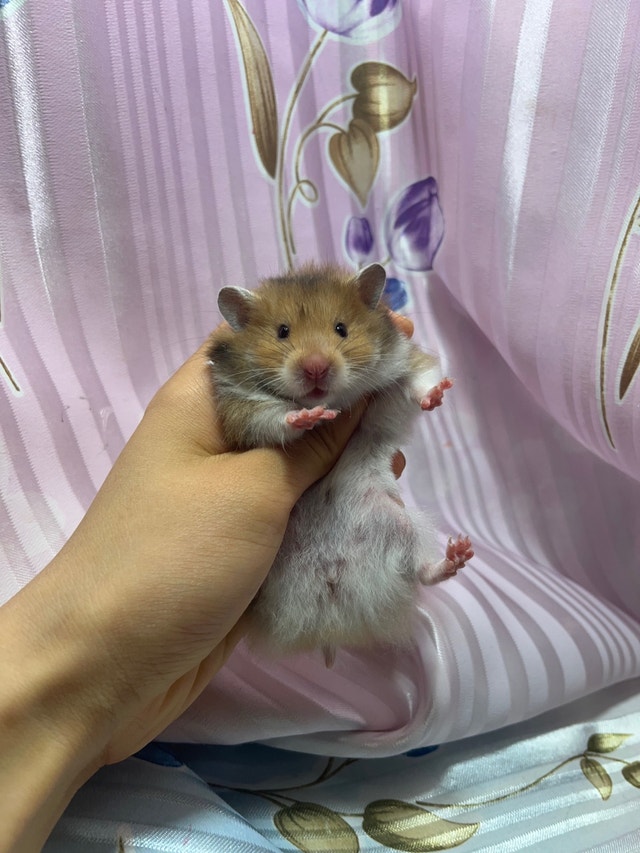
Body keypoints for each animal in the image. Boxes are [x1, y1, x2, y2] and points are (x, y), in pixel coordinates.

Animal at [207, 262, 473, 666]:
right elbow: (274, 416)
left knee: (422, 571)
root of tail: (331, 605)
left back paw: (459, 553)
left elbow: (419, 380)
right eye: (282, 331)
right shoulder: (239, 407)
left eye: (341, 328)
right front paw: (312, 416)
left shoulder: (401, 364)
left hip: (401, 525)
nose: (316, 369)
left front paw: (438, 396)